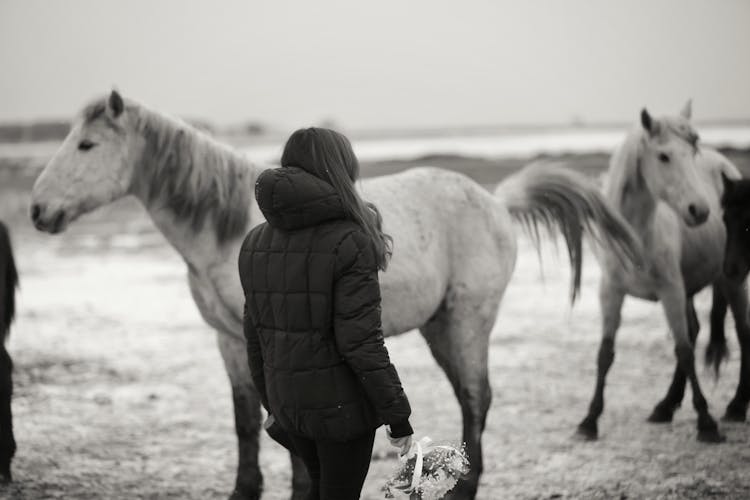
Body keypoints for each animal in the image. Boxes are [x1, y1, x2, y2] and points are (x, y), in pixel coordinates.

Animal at [29, 91, 640, 500]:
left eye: (86, 145)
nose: (38, 211)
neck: (229, 226)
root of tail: (495, 201)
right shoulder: (232, 340)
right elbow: (247, 423)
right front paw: (245, 489)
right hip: (440, 327)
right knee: (473, 399)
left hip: (467, 323)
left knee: (476, 398)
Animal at [580, 99, 748, 444]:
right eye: (663, 156)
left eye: (691, 152)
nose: (700, 210)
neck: (637, 237)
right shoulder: (611, 293)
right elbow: (605, 353)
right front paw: (590, 420)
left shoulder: (671, 291)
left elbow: (683, 351)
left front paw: (706, 422)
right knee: (695, 330)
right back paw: (666, 405)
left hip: (732, 281)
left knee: (743, 333)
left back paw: (737, 406)